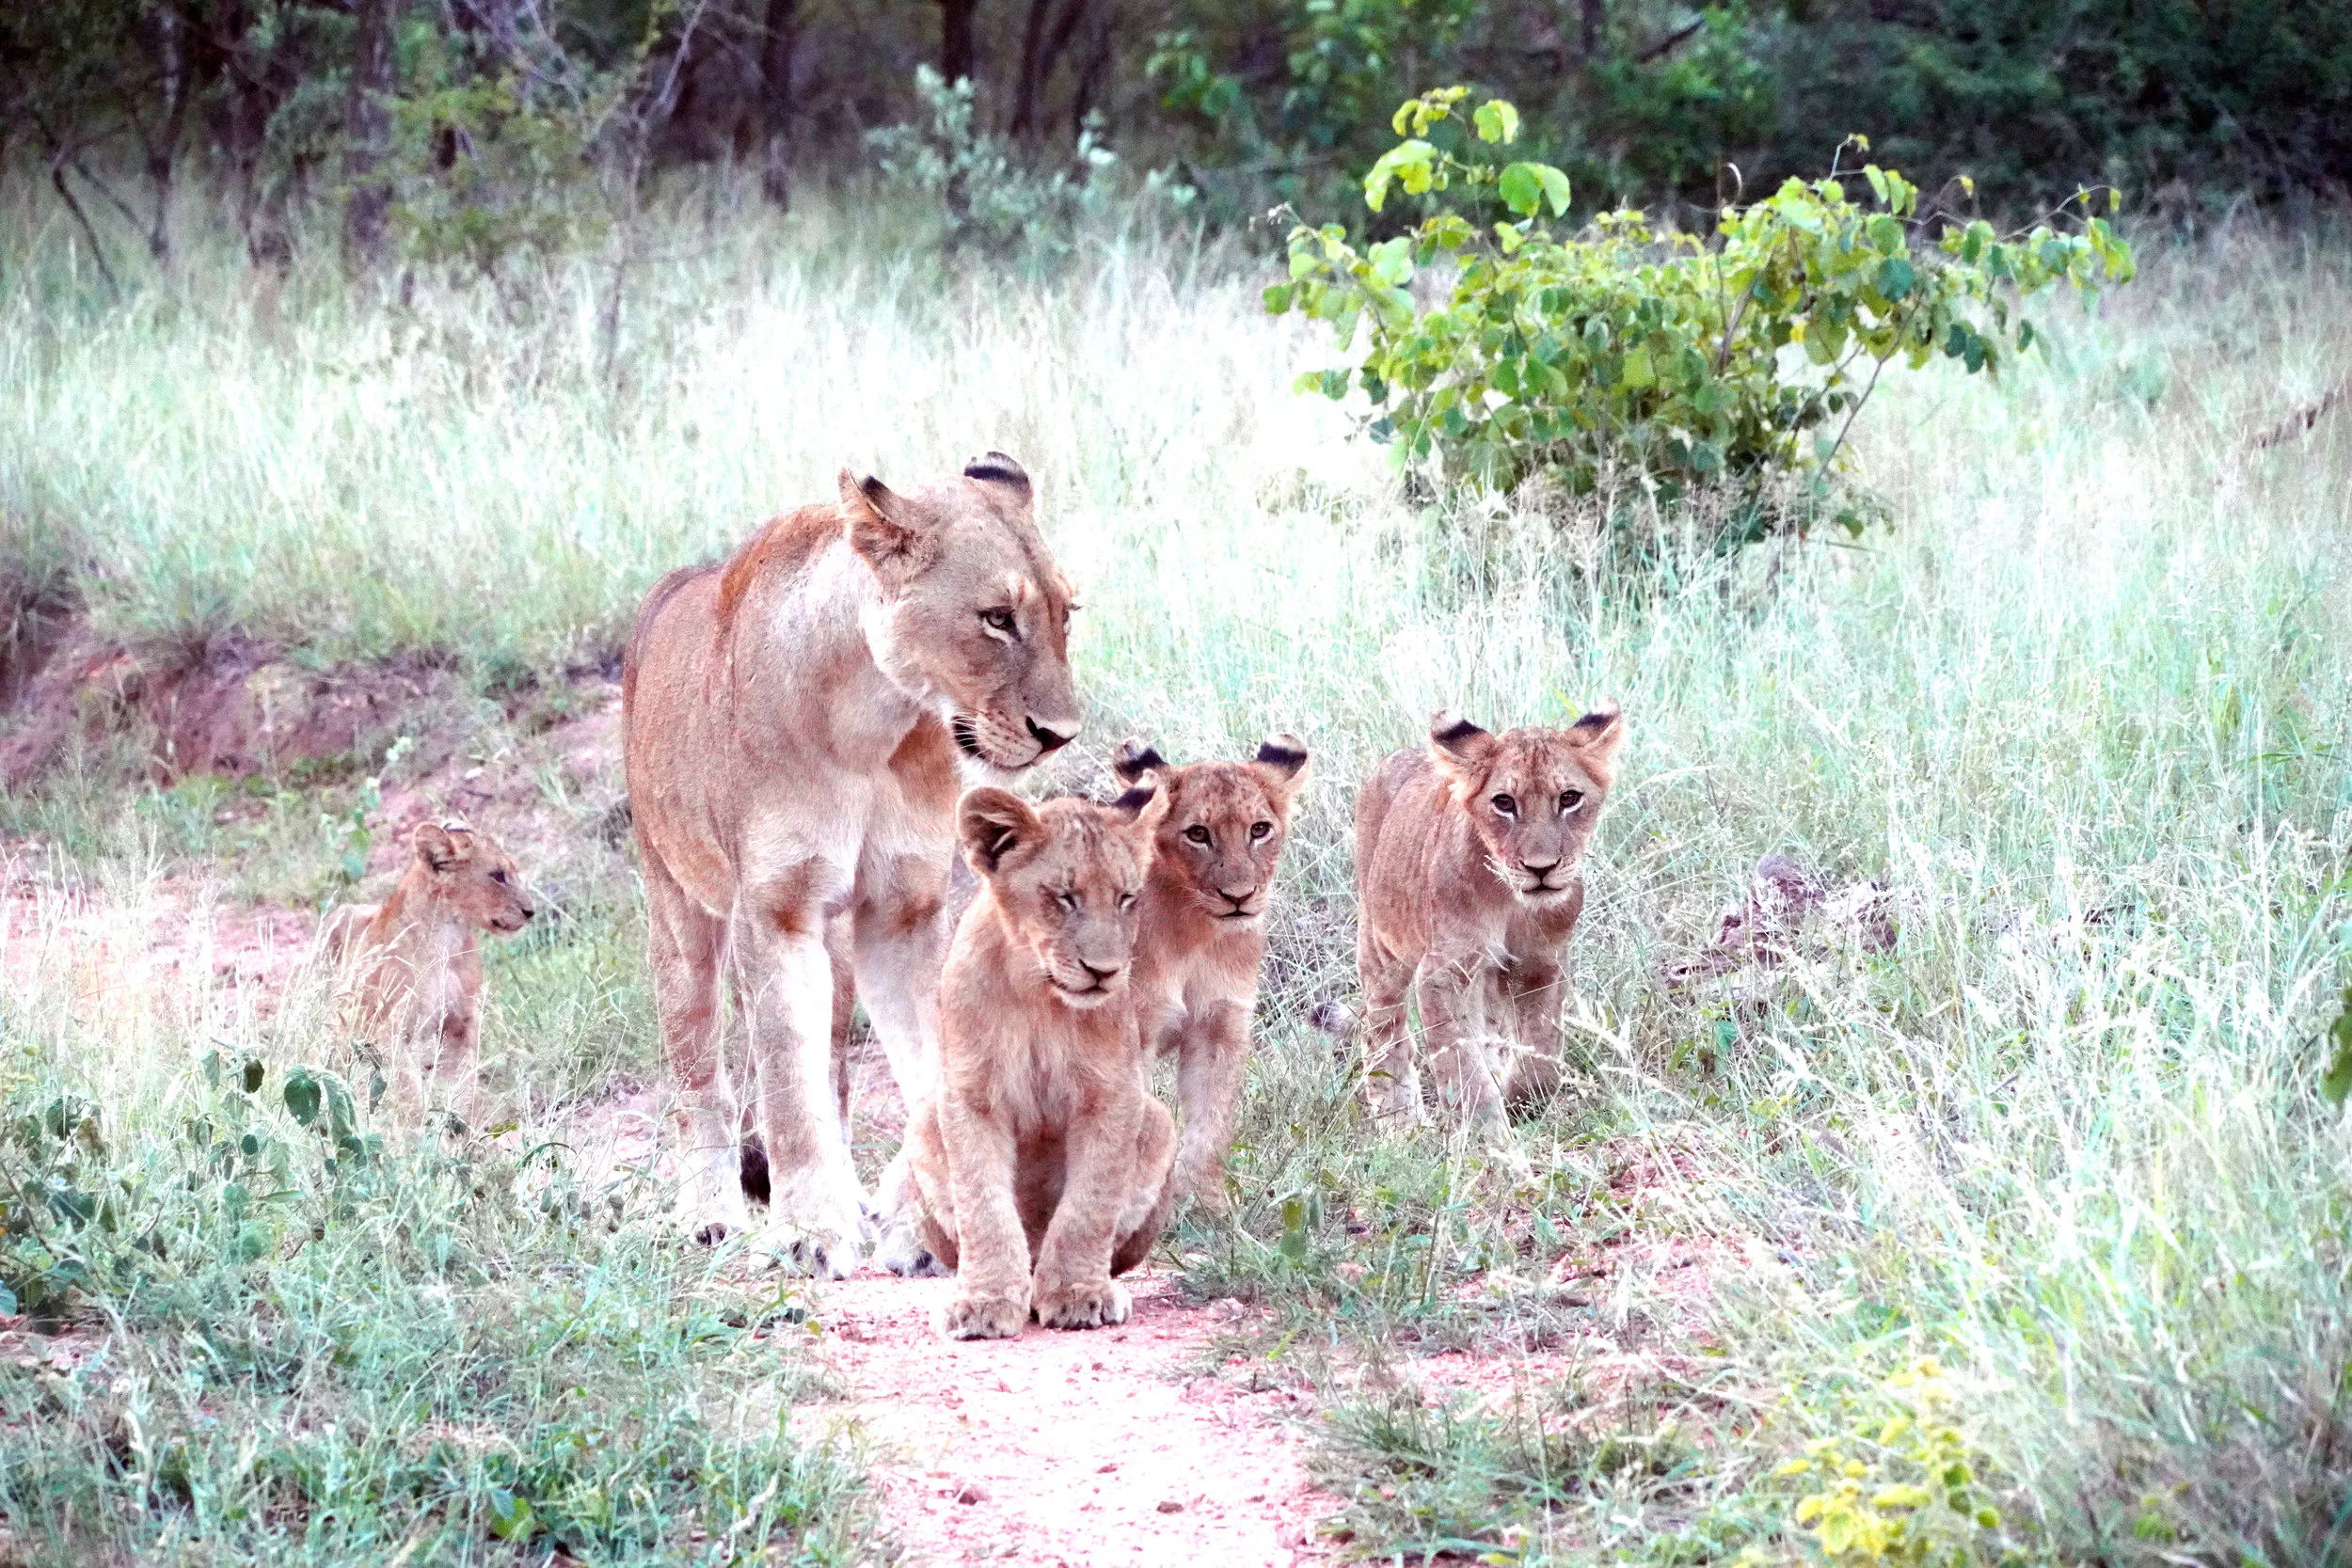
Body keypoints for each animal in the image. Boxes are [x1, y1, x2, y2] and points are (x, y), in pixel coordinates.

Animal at [324, 822, 536, 1128]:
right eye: (497, 875)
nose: (531, 912)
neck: (448, 938)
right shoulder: (388, 1030)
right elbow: (409, 1089)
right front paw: (422, 1130)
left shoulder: (461, 1025)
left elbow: (464, 1085)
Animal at [623, 453, 1081, 1277]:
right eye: (997, 617)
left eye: (1069, 612)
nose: (1060, 734)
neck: (871, 722)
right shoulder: (777, 910)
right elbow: (786, 1086)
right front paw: (809, 1232)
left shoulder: (902, 913)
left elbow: (928, 1068)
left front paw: (928, 1227)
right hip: (678, 913)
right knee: (701, 1075)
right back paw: (710, 1215)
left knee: (833, 1068)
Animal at [903, 783, 1177, 1340]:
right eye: (1064, 897)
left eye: (1126, 898)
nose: (1104, 972)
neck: (1036, 993)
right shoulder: (970, 1095)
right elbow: (983, 1204)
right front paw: (983, 1301)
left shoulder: (1112, 1094)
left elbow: (1089, 1205)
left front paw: (1078, 1294)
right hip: (921, 1121)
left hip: (1159, 1121)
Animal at [1109, 733, 1309, 1208]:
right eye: (1198, 834)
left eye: (1259, 830)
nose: (1239, 897)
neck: (1196, 934)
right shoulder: (1132, 1036)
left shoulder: (1220, 1025)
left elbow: (1212, 1121)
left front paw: (1203, 1200)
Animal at [1353, 707, 1625, 1129]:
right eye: (1504, 803)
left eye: (1569, 798)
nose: (1541, 869)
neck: (1510, 902)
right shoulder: (1443, 973)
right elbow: (1462, 1066)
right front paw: (1484, 1130)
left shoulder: (1543, 964)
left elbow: (1542, 1056)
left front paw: (1518, 1102)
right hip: (1382, 948)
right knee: (1383, 1030)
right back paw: (1399, 1122)